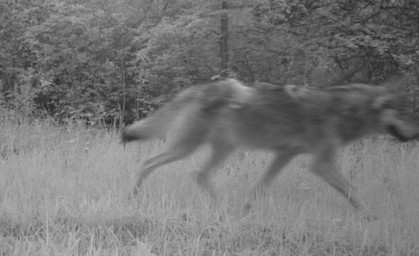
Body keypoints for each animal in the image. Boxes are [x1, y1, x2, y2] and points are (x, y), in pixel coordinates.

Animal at [121, 77, 419, 216]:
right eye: (404, 113)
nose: (416, 133)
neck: (345, 112)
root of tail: (198, 88)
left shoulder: (285, 154)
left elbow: (261, 186)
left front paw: (245, 209)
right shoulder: (321, 164)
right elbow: (353, 191)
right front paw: (371, 216)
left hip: (221, 150)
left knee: (199, 175)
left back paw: (221, 206)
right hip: (187, 148)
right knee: (147, 163)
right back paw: (131, 197)